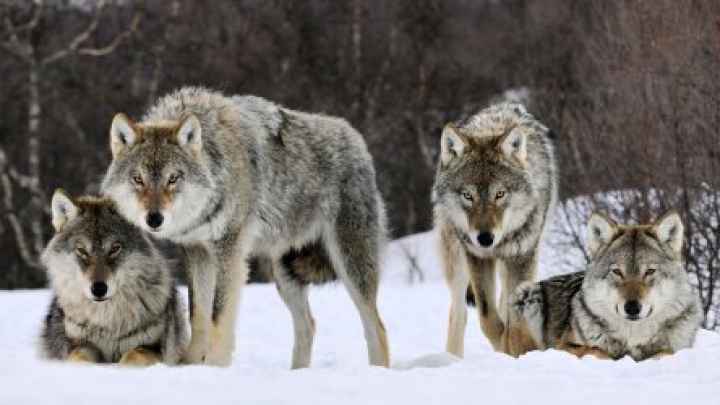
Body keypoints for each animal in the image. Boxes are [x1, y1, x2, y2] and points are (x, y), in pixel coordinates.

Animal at [39, 191, 187, 364]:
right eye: (82, 250)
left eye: (115, 249)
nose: (98, 289)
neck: (107, 322)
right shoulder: (80, 344)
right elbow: (78, 357)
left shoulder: (152, 348)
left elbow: (132, 356)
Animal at [101, 85, 388, 366]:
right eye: (138, 179)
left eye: (173, 178)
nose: (154, 219)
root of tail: (357, 139)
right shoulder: (197, 251)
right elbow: (198, 314)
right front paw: (191, 364)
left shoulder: (229, 250)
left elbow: (218, 315)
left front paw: (214, 366)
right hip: (285, 274)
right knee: (308, 325)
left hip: (350, 265)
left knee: (377, 328)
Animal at [434, 102, 556, 356]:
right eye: (467, 195)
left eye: (500, 194)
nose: (485, 238)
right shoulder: (477, 257)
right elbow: (487, 317)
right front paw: (503, 344)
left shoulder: (523, 257)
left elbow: (511, 314)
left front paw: (512, 347)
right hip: (456, 259)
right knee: (459, 313)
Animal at [512, 211, 704, 360]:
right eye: (617, 272)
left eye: (650, 271)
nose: (632, 308)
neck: (633, 338)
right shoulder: (563, 346)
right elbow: (596, 349)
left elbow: (667, 352)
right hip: (526, 294)